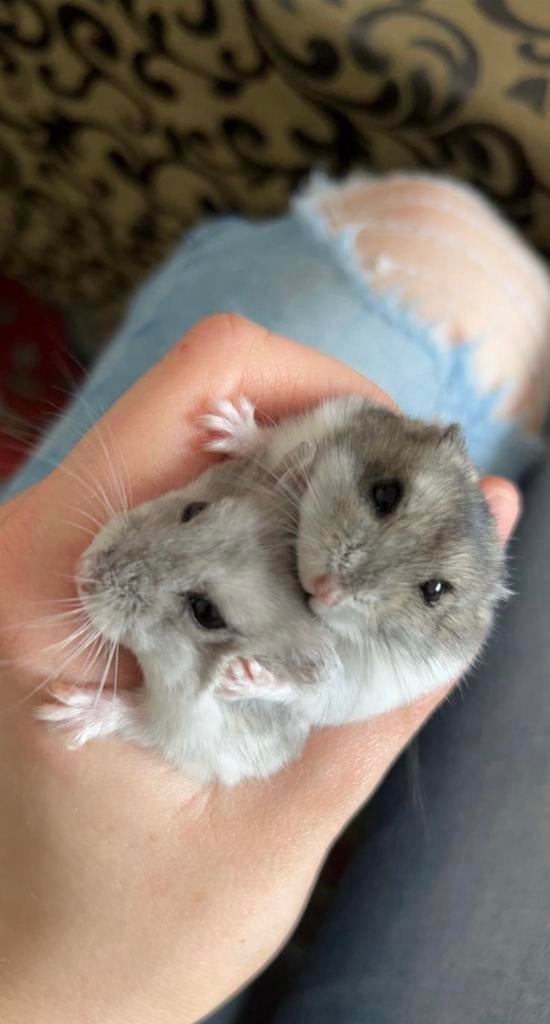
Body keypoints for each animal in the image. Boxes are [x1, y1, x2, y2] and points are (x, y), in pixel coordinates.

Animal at [36, 461, 345, 785]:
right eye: (194, 509)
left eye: (206, 612)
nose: (80, 571)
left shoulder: (192, 735)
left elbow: (137, 718)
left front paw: (61, 712)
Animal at [201, 395, 507, 721]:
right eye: (386, 493)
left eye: (434, 590)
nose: (325, 589)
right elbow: (267, 440)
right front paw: (221, 419)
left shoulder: (350, 692)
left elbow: (302, 689)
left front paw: (237, 677)